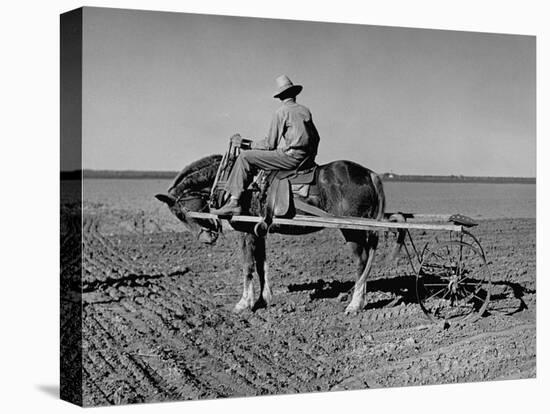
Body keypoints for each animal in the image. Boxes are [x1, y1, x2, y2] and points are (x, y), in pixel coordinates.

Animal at [155, 154, 388, 314]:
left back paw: (355, 304)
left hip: (351, 230)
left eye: (180, 213)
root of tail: (369, 174)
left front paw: (244, 303)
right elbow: (261, 265)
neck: (231, 183)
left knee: (361, 262)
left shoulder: (246, 231)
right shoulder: (259, 232)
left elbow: (248, 266)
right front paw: (263, 299)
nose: (206, 239)